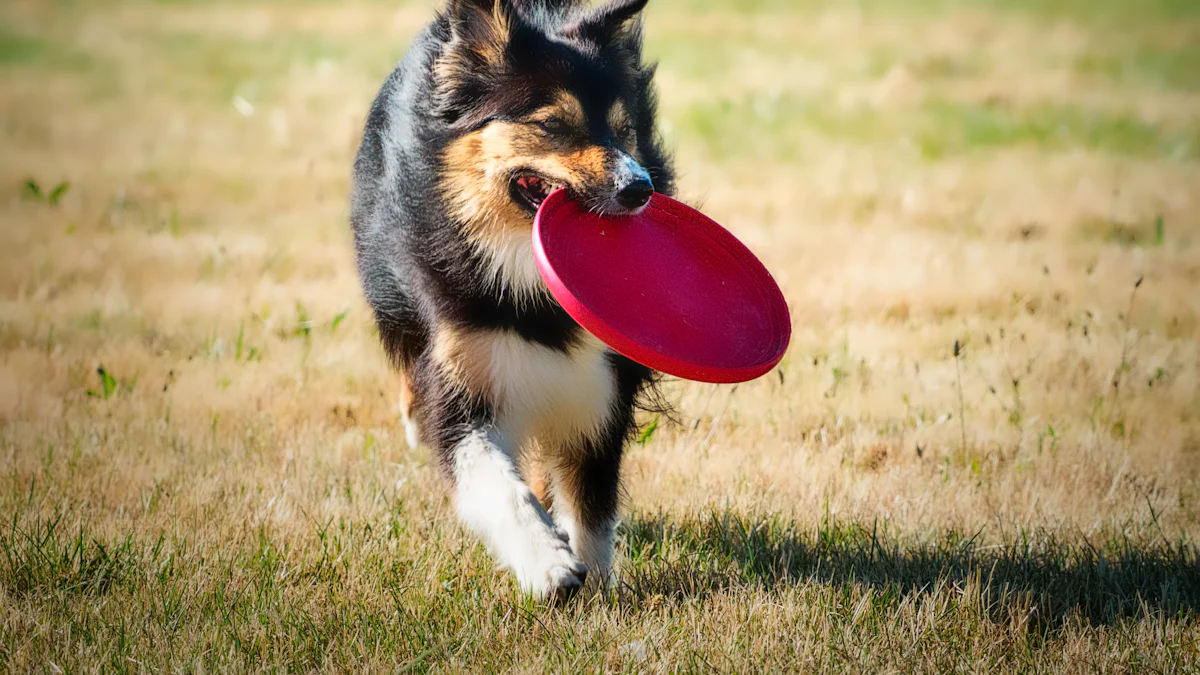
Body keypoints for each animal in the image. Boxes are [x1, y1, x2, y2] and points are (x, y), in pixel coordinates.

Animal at [350, 0, 681, 595]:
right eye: (552, 124)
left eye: (624, 131)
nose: (640, 188)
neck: (524, 271)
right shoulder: (459, 374)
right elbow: (497, 486)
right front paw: (549, 565)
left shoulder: (602, 383)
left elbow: (590, 500)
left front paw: (596, 582)